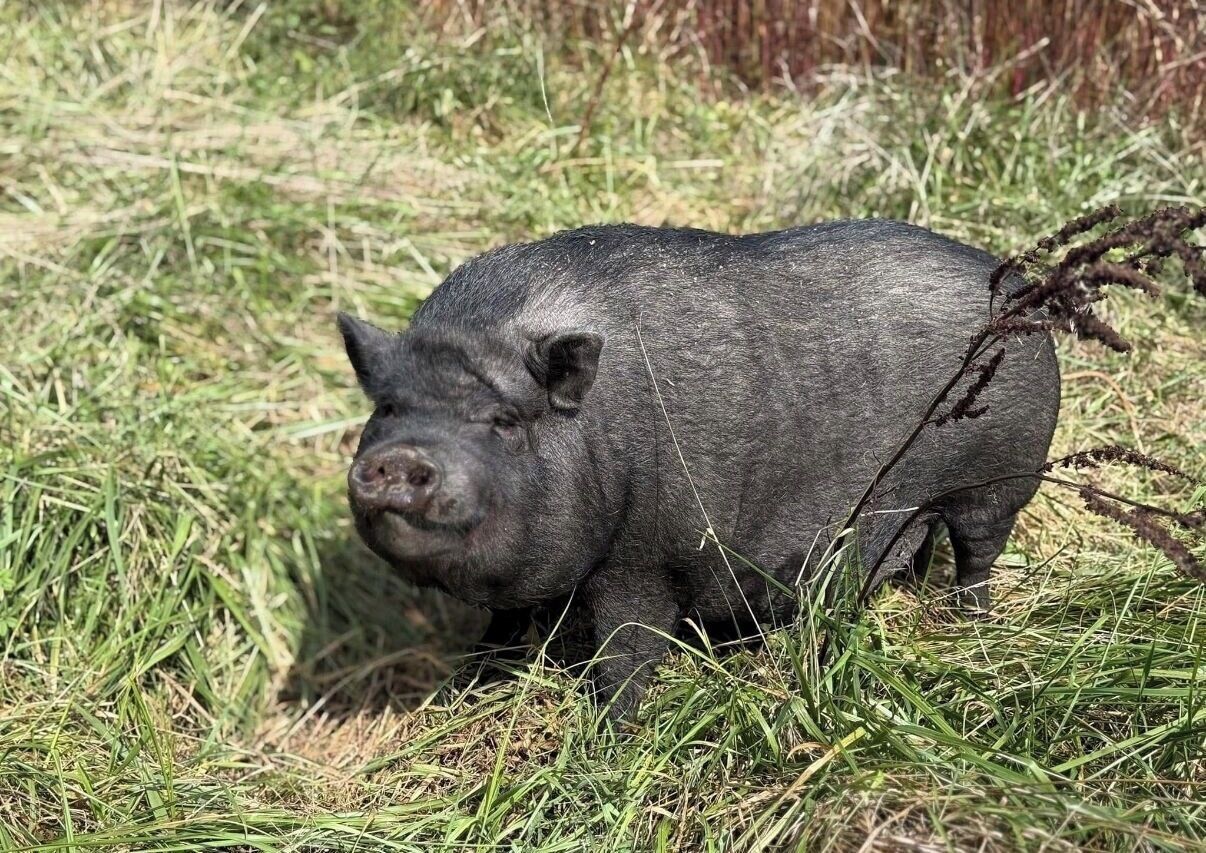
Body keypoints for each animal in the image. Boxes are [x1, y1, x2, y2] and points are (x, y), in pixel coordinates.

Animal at [338, 220, 1061, 719]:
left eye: (504, 420)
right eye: (388, 407)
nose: (400, 457)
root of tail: (1022, 293)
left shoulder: (649, 556)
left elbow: (626, 651)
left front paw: (610, 730)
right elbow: (503, 630)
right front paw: (468, 684)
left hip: (999, 480)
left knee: (976, 553)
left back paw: (970, 623)